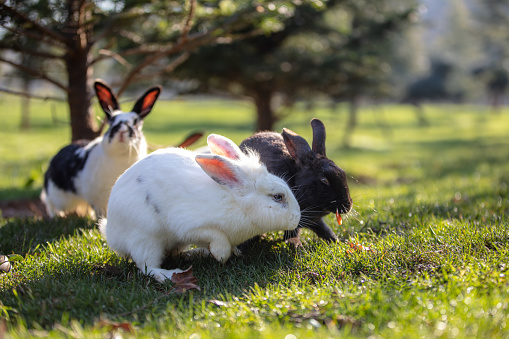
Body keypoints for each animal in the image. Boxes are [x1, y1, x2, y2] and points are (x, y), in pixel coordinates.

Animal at [42, 79, 161, 218]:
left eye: (136, 123)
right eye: (112, 121)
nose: (121, 131)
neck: (122, 156)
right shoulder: (96, 198)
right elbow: (100, 211)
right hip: (57, 196)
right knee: (49, 203)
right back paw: (57, 216)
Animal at [98, 134, 302, 282]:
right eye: (278, 197)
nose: (297, 217)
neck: (236, 202)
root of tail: (111, 233)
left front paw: (233, 252)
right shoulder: (189, 226)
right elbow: (217, 237)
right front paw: (221, 255)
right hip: (146, 238)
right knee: (147, 267)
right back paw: (169, 274)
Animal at [239, 119, 352, 247]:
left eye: (343, 173)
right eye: (324, 180)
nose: (348, 206)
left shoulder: (313, 220)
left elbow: (323, 229)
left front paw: (336, 240)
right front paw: (295, 244)